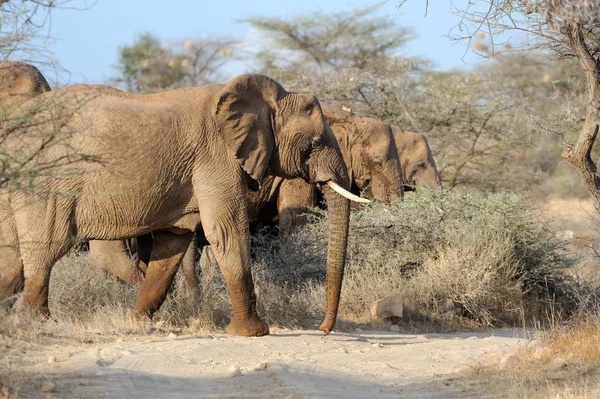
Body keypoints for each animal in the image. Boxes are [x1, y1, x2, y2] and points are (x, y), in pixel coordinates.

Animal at [1, 74, 360, 338]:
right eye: (314, 143)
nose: (323, 330)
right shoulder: (215, 156)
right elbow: (227, 230)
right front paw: (253, 332)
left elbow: (173, 243)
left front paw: (138, 322)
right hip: (49, 180)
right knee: (47, 245)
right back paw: (33, 321)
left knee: (12, 257)